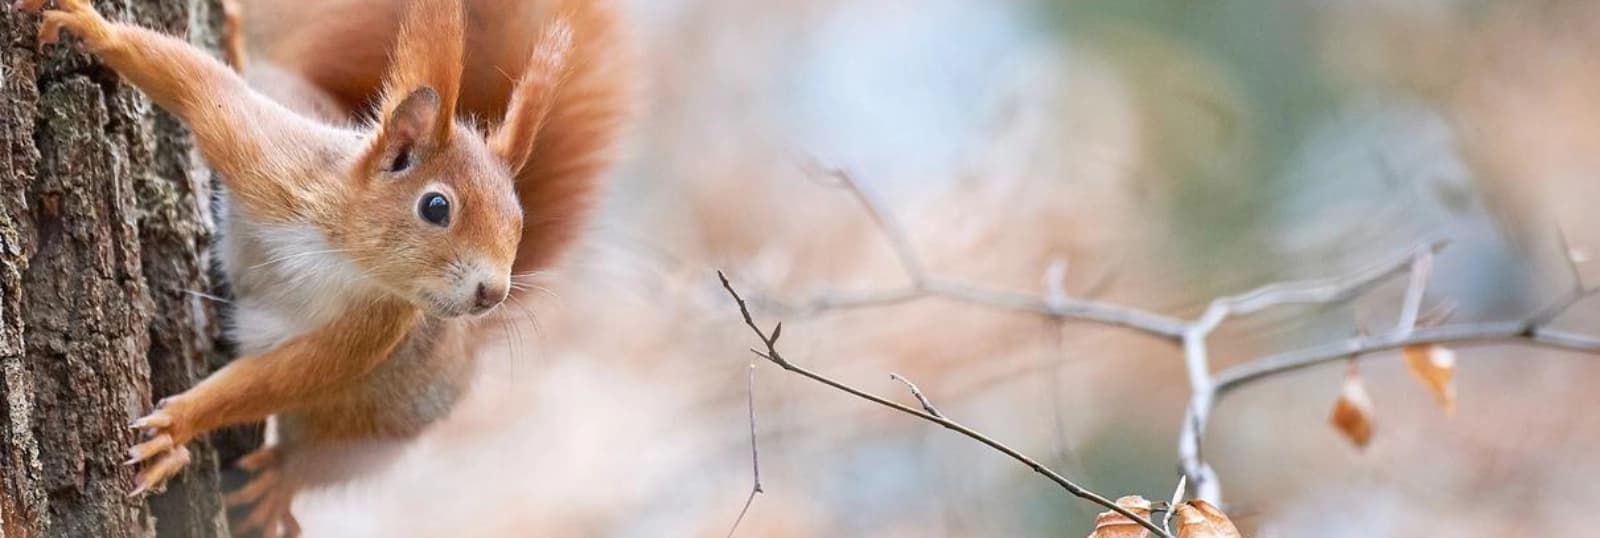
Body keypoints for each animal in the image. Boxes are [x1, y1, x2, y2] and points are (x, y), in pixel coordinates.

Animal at [14, 0, 631, 535]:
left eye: (517, 219)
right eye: (437, 207)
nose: (492, 291)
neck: (346, 254)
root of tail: (467, 351)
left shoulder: (376, 327)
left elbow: (286, 377)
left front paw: (179, 425)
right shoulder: (267, 158)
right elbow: (198, 86)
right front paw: (91, 28)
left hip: (381, 424)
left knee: (318, 455)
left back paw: (281, 479)